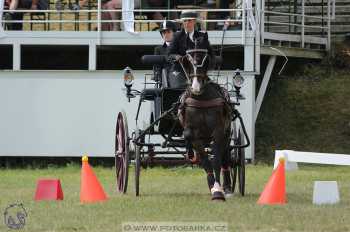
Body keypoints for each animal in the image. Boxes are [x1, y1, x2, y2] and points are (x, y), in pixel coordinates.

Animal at [178, 42, 232, 200]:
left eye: (205, 59)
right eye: (188, 61)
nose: (196, 87)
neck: (201, 98)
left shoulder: (219, 131)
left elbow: (216, 160)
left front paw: (219, 189)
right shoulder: (194, 134)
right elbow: (205, 160)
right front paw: (212, 187)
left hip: (227, 134)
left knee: (225, 157)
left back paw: (228, 187)